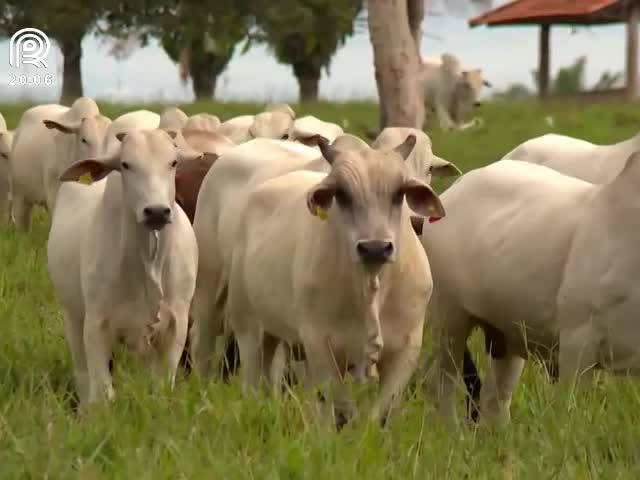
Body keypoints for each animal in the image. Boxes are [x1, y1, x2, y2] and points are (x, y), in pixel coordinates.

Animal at [47, 129, 200, 404]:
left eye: (173, 163)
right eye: (126, 164)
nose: (157, 211)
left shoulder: (176, 325)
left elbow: (162, 386)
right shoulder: (96, 324)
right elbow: (103, 393)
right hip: (72, 315)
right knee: (83, 375)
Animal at [228, 136, 442, 428]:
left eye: (399, 194)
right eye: (342, 194)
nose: (375, 248)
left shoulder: (407, 347)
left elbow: (381, 414)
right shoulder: (318, 342)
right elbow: (341, 410)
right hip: (249, 328)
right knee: (253, 383)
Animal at [422, 158, 640, 428]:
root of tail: (458, 186)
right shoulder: (577, 341)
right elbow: (571, 410)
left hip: (506, 334)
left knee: (495, 398)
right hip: (448, 318)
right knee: (442, 385)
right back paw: (453, 433)